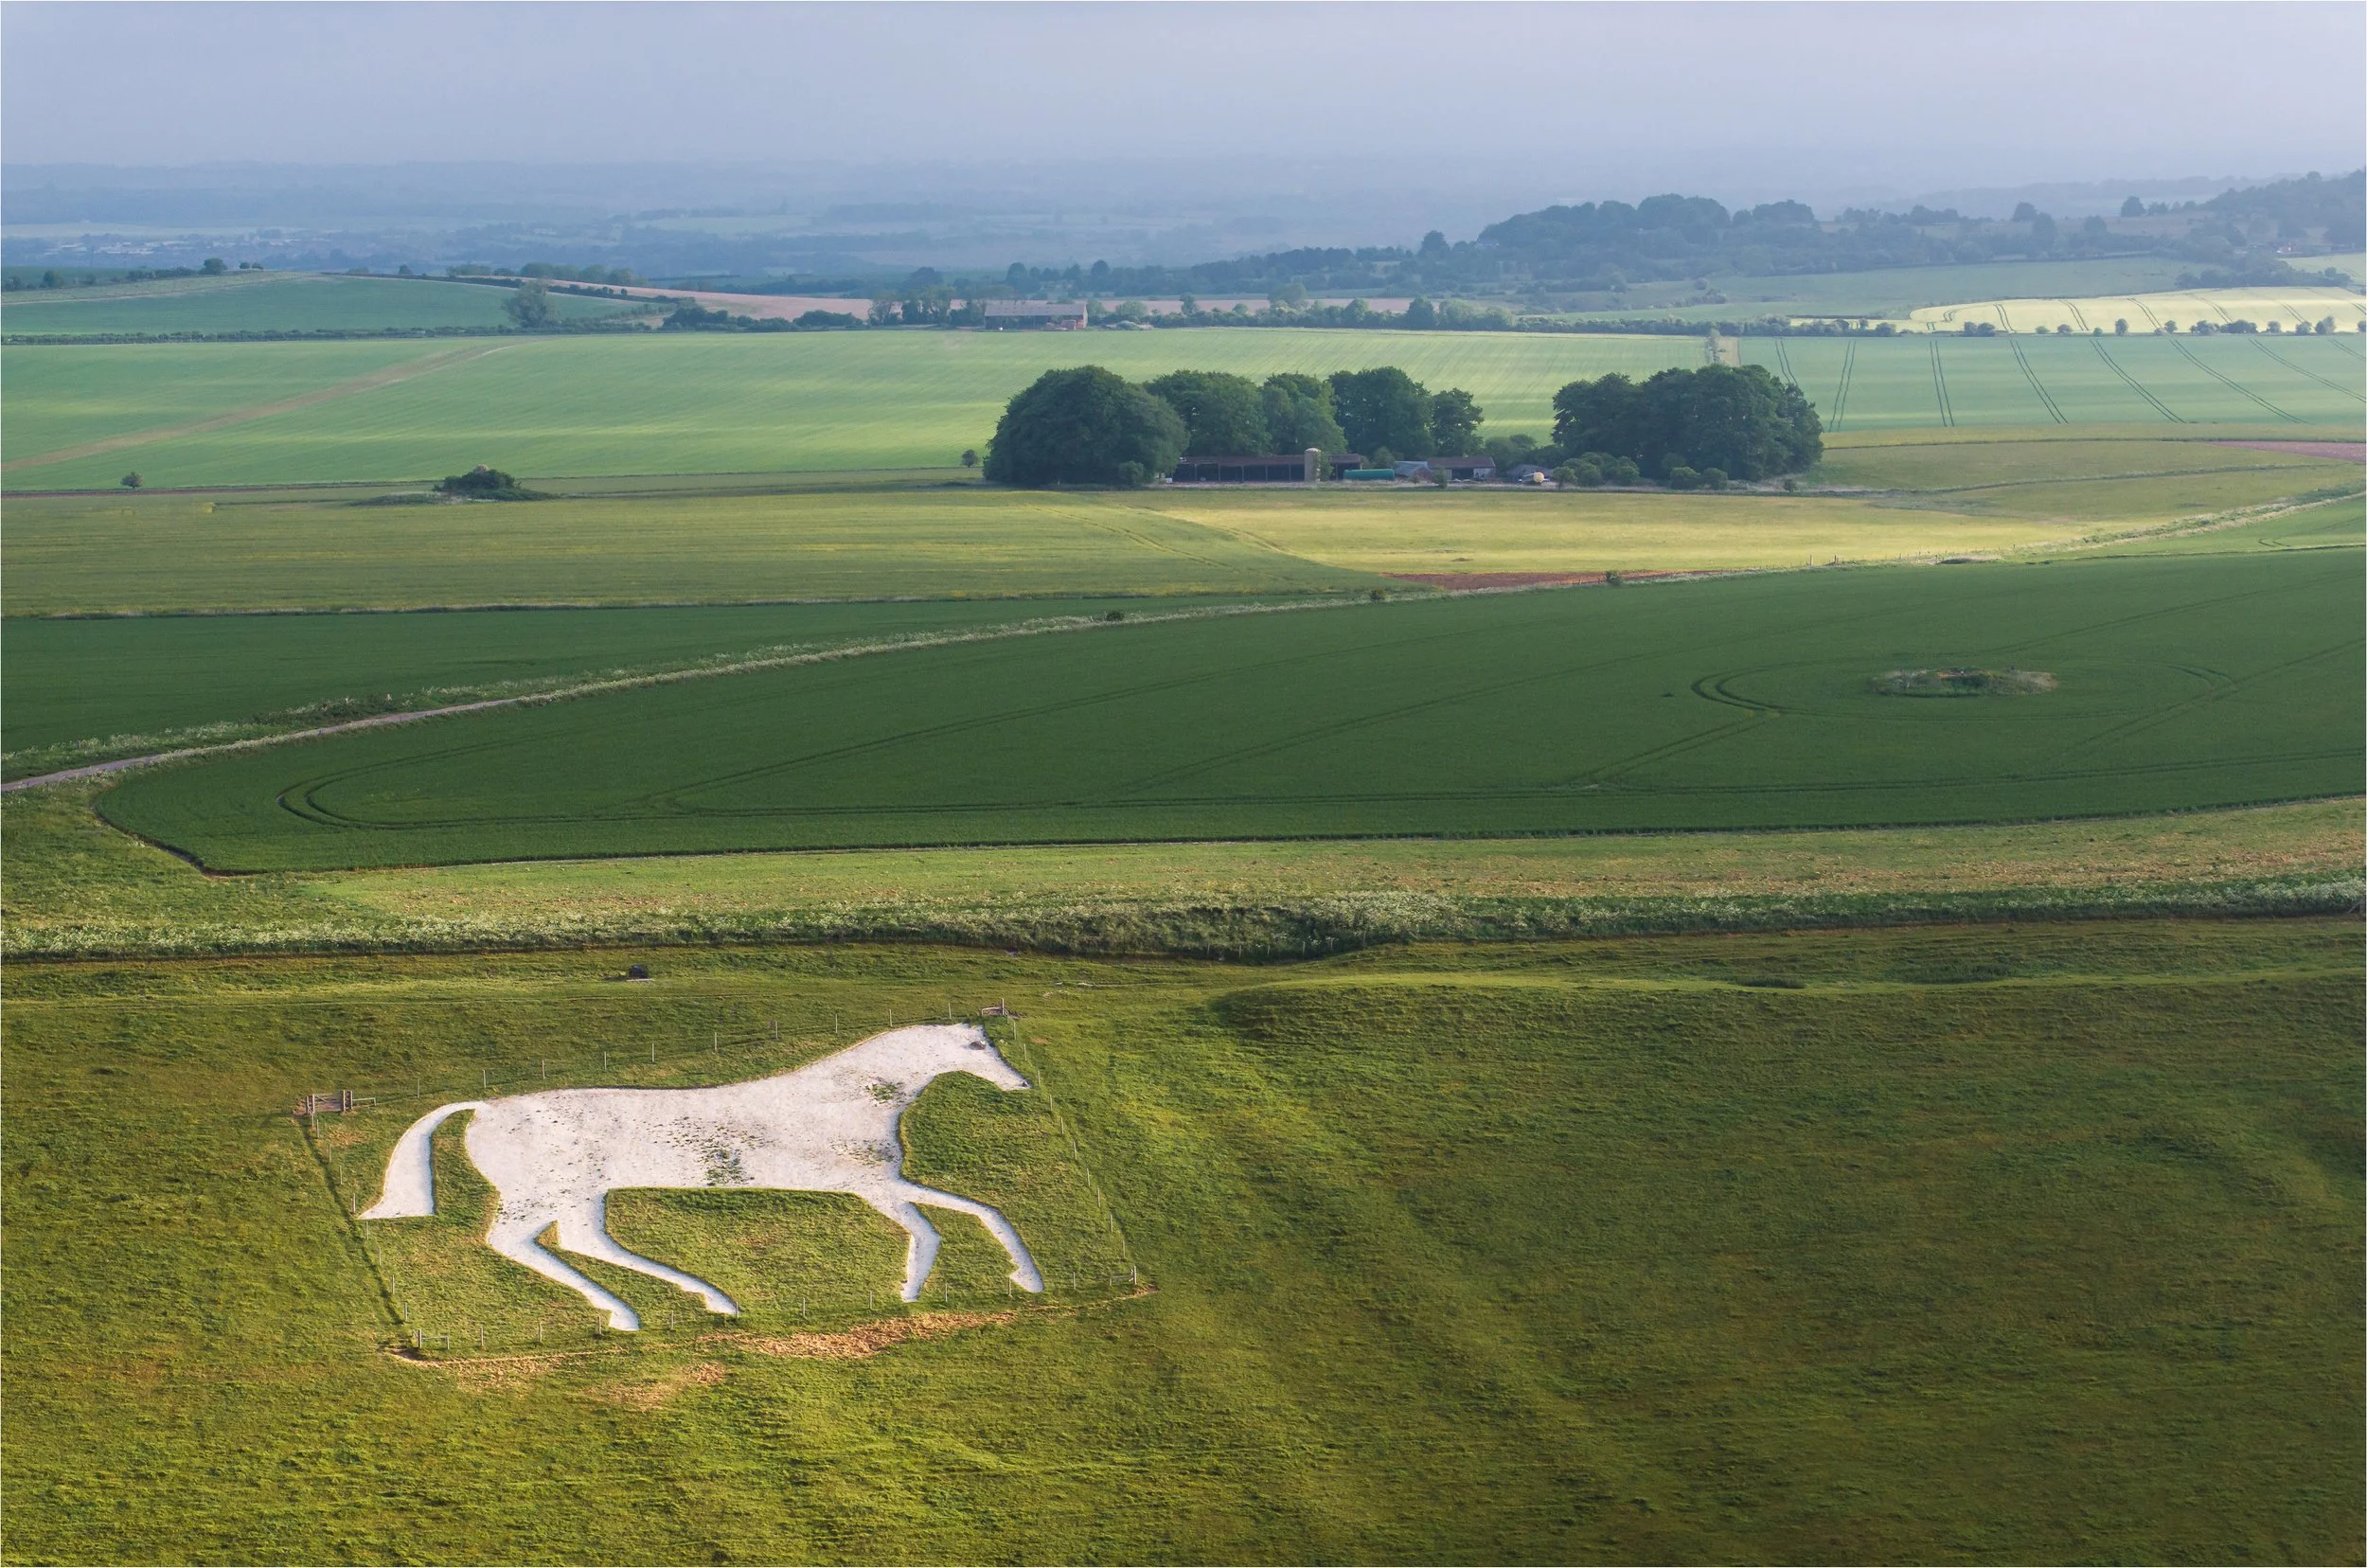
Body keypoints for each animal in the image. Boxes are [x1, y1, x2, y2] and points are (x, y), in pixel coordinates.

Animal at [359, 1024, 1046, 1330]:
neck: (847, 1099)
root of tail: (484, 1107)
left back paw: (694, 1303)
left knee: (580, 1242)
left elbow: (953, 1221)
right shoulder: (874, 1188)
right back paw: (647, 1312)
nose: (1020, 1083)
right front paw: (1012, 1281)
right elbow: (962, 1218)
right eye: (977, 1047)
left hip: (583, 1195)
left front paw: (928, 1291)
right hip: (541, 1193)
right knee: (515, 1243)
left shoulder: (876, 1190)